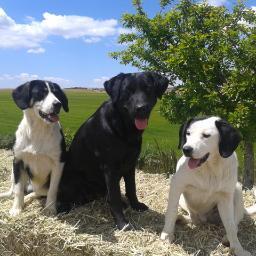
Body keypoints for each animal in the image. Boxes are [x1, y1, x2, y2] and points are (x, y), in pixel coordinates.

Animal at [0, 80, 69, 216]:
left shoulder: (58, 163)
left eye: (57, 93)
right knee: (13, 191)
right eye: (41, 93)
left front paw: (50, 209)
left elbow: (52, 190)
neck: (39, 129)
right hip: (13, 171)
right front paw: (16, 208)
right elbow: (18, 189)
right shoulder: (18, 161)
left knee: (38, 192)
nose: (57, 104)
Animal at [57, 71, 169, 229]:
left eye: (148, 89)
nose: (141, 108)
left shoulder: (131, 164)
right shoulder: (110, 168)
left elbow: (131, 188)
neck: (124, 129)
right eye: (127, 91)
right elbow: (115, 197)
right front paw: (122, 223)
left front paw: (136, 206)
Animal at [161, 116, 256, 256]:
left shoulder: (225, 197)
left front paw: (238, 249)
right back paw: (182, 218)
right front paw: (167, 234)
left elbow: (231, 226)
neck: (209, 168)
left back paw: (226, 238)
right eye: (188, 133)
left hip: (237, 190)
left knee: (235, 222)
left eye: (206, 135)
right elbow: (171, 211)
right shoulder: (176, 185)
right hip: (183, 201)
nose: (186, 149)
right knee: (194, 218)